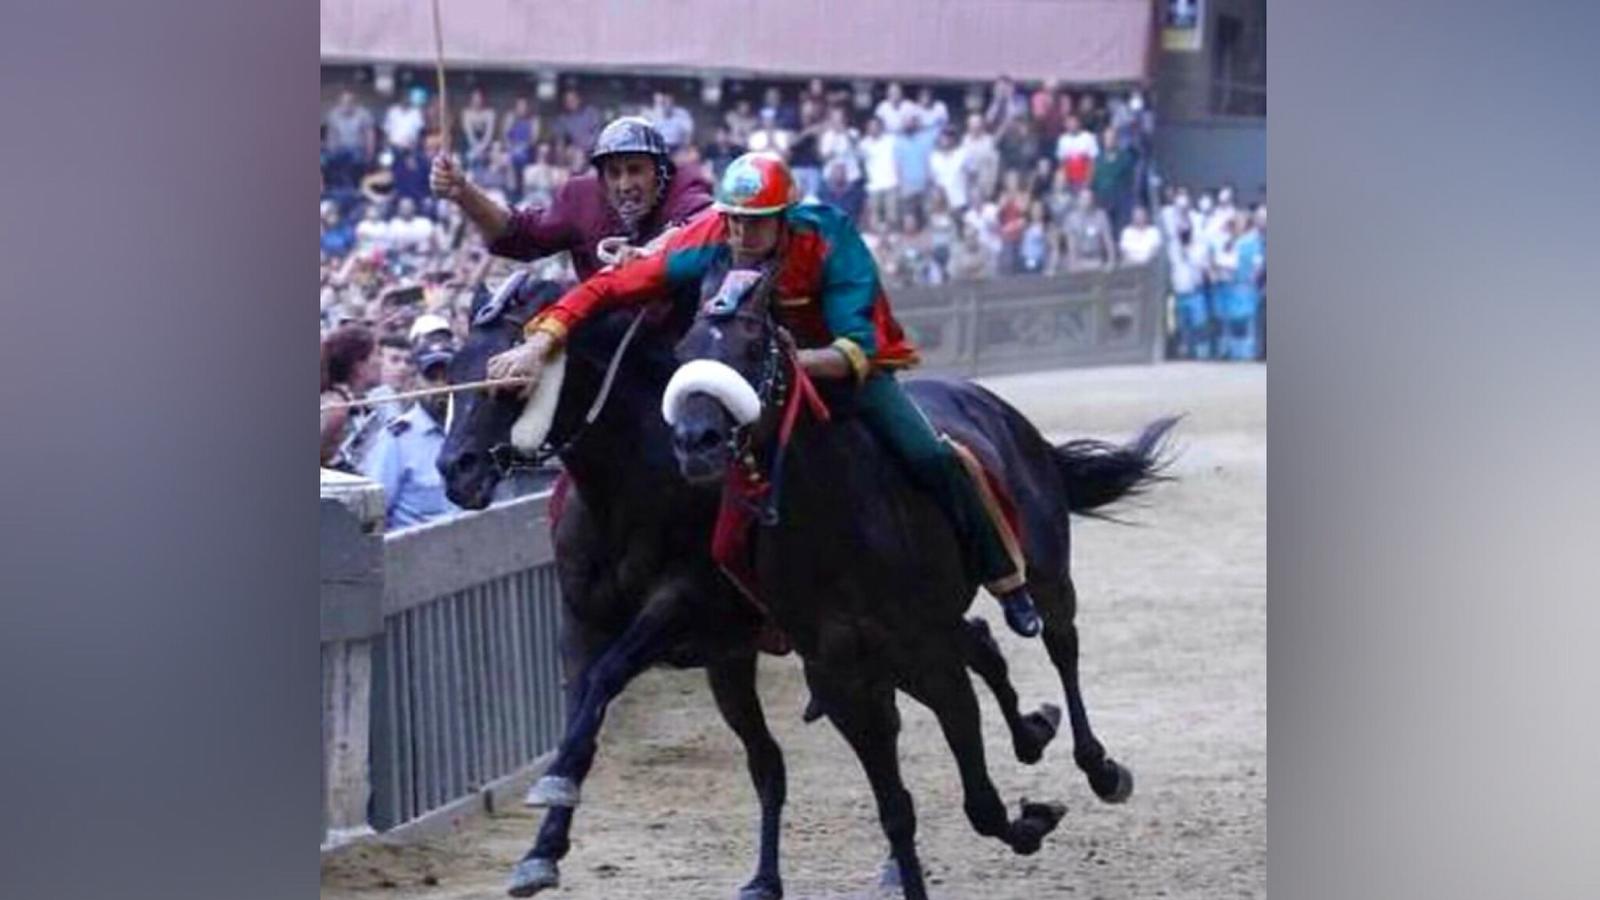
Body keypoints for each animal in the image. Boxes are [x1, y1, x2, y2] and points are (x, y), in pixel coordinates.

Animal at [438, 277, 1068, 890]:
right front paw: (542, 847)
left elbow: (607, 675)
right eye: (453, 370)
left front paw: (555, 791)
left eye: (511, 381)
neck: (636, 487)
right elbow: (584, 702)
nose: (455, 468)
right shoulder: (587, 618)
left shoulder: (688, 601)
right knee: (956, 660)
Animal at [662, 267, 1177, 896]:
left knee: (1060, 643)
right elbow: (895, 807)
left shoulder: (926, 658)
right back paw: (1033, 734)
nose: (696, 441)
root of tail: (993, 404)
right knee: (984, 645)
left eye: (753, 346)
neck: (834, 521)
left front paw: (1033, 818)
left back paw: (1099, 766)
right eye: (682, 351)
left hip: (1046, 570)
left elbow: (980, 803)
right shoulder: (842, 677)